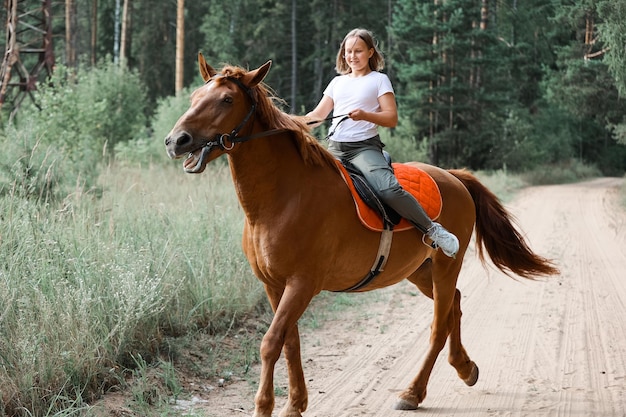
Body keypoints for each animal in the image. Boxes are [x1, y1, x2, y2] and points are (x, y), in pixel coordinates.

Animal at [165, 55, 556, 416]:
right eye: (196, 95)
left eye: (226, 100)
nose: (176, 140)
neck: (284, 197)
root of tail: (454, 177)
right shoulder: (274, 285)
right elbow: (290, 342)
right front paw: (295, 403)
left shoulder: (302, 284)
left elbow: (271, 342)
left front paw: (264, 406)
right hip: (419, 270)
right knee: (455, 306)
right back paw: (465, 368)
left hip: (447, 265)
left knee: (438, 324)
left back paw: (413, 393)